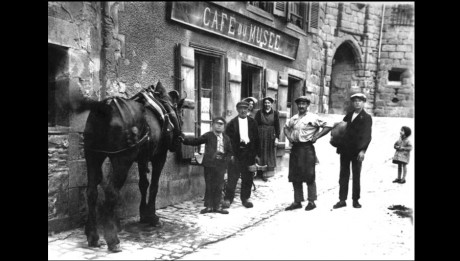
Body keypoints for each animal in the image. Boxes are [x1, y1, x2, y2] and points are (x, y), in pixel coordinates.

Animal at [82, 82, 184, 252]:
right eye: (181, 116)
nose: (180, 138)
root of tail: (106, 107)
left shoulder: (142, 158)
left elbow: (143, 184)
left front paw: (144, 214)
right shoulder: (159, 156)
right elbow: (154, 186)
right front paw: (152, 217)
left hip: (92, 156)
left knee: (91, 192)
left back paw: (93, 236)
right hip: (122, 160)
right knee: (111, 192)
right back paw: (113, 239)